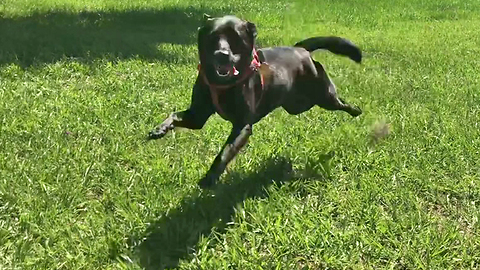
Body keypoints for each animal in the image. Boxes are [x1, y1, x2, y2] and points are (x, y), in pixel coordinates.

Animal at [148, 14, 362, 188]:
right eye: (213, 37)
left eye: (235, 38)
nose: (221, 55)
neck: (223, 85)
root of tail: (300, 49)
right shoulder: (197, 116)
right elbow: (174, 115)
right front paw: (160, 129)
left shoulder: (242, 126)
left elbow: (226, 151)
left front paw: (210, 177)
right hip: (298, 105)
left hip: (323, 97)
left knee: (340, 102)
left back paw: (356, 110)